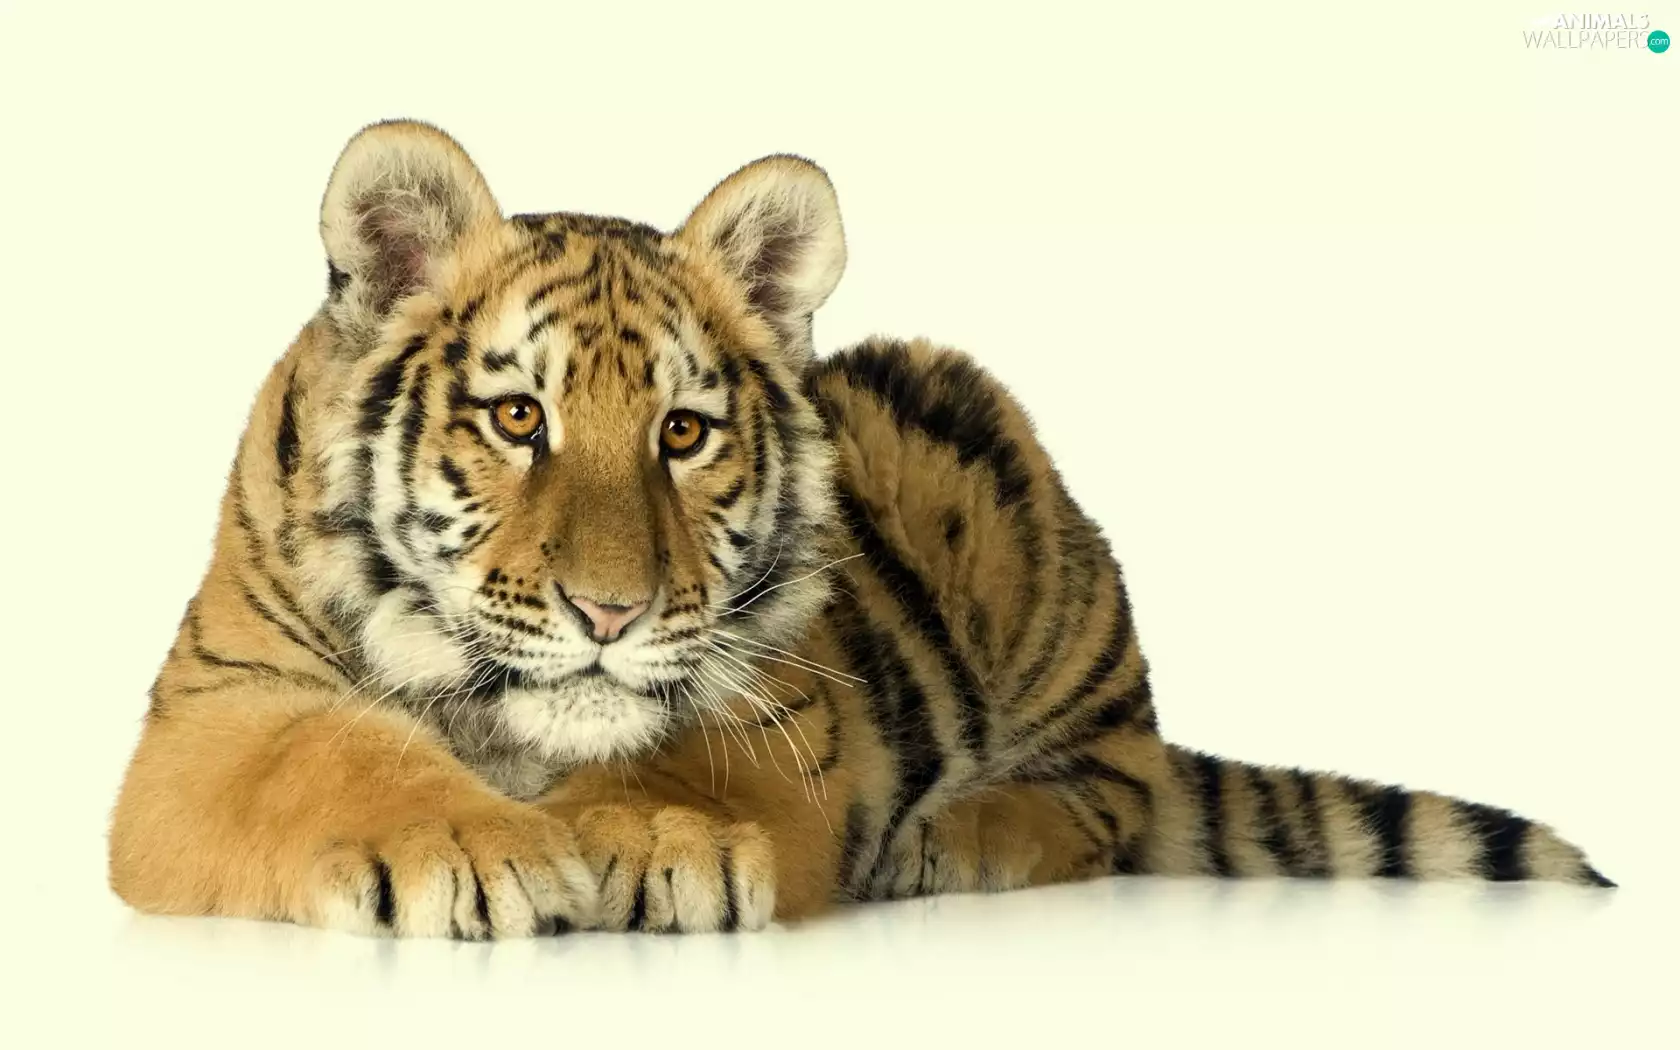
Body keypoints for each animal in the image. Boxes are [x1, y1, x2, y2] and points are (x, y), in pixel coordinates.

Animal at [108, 120, 1613, 938]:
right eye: (519, 417)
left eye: (683, 433)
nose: (610, 613)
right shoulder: (215, 715)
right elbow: (332, 755)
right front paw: (474, 849)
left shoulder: (793, 705)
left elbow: (689, 757)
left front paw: (649, 841)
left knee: (1118, 789)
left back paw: (963, 835)